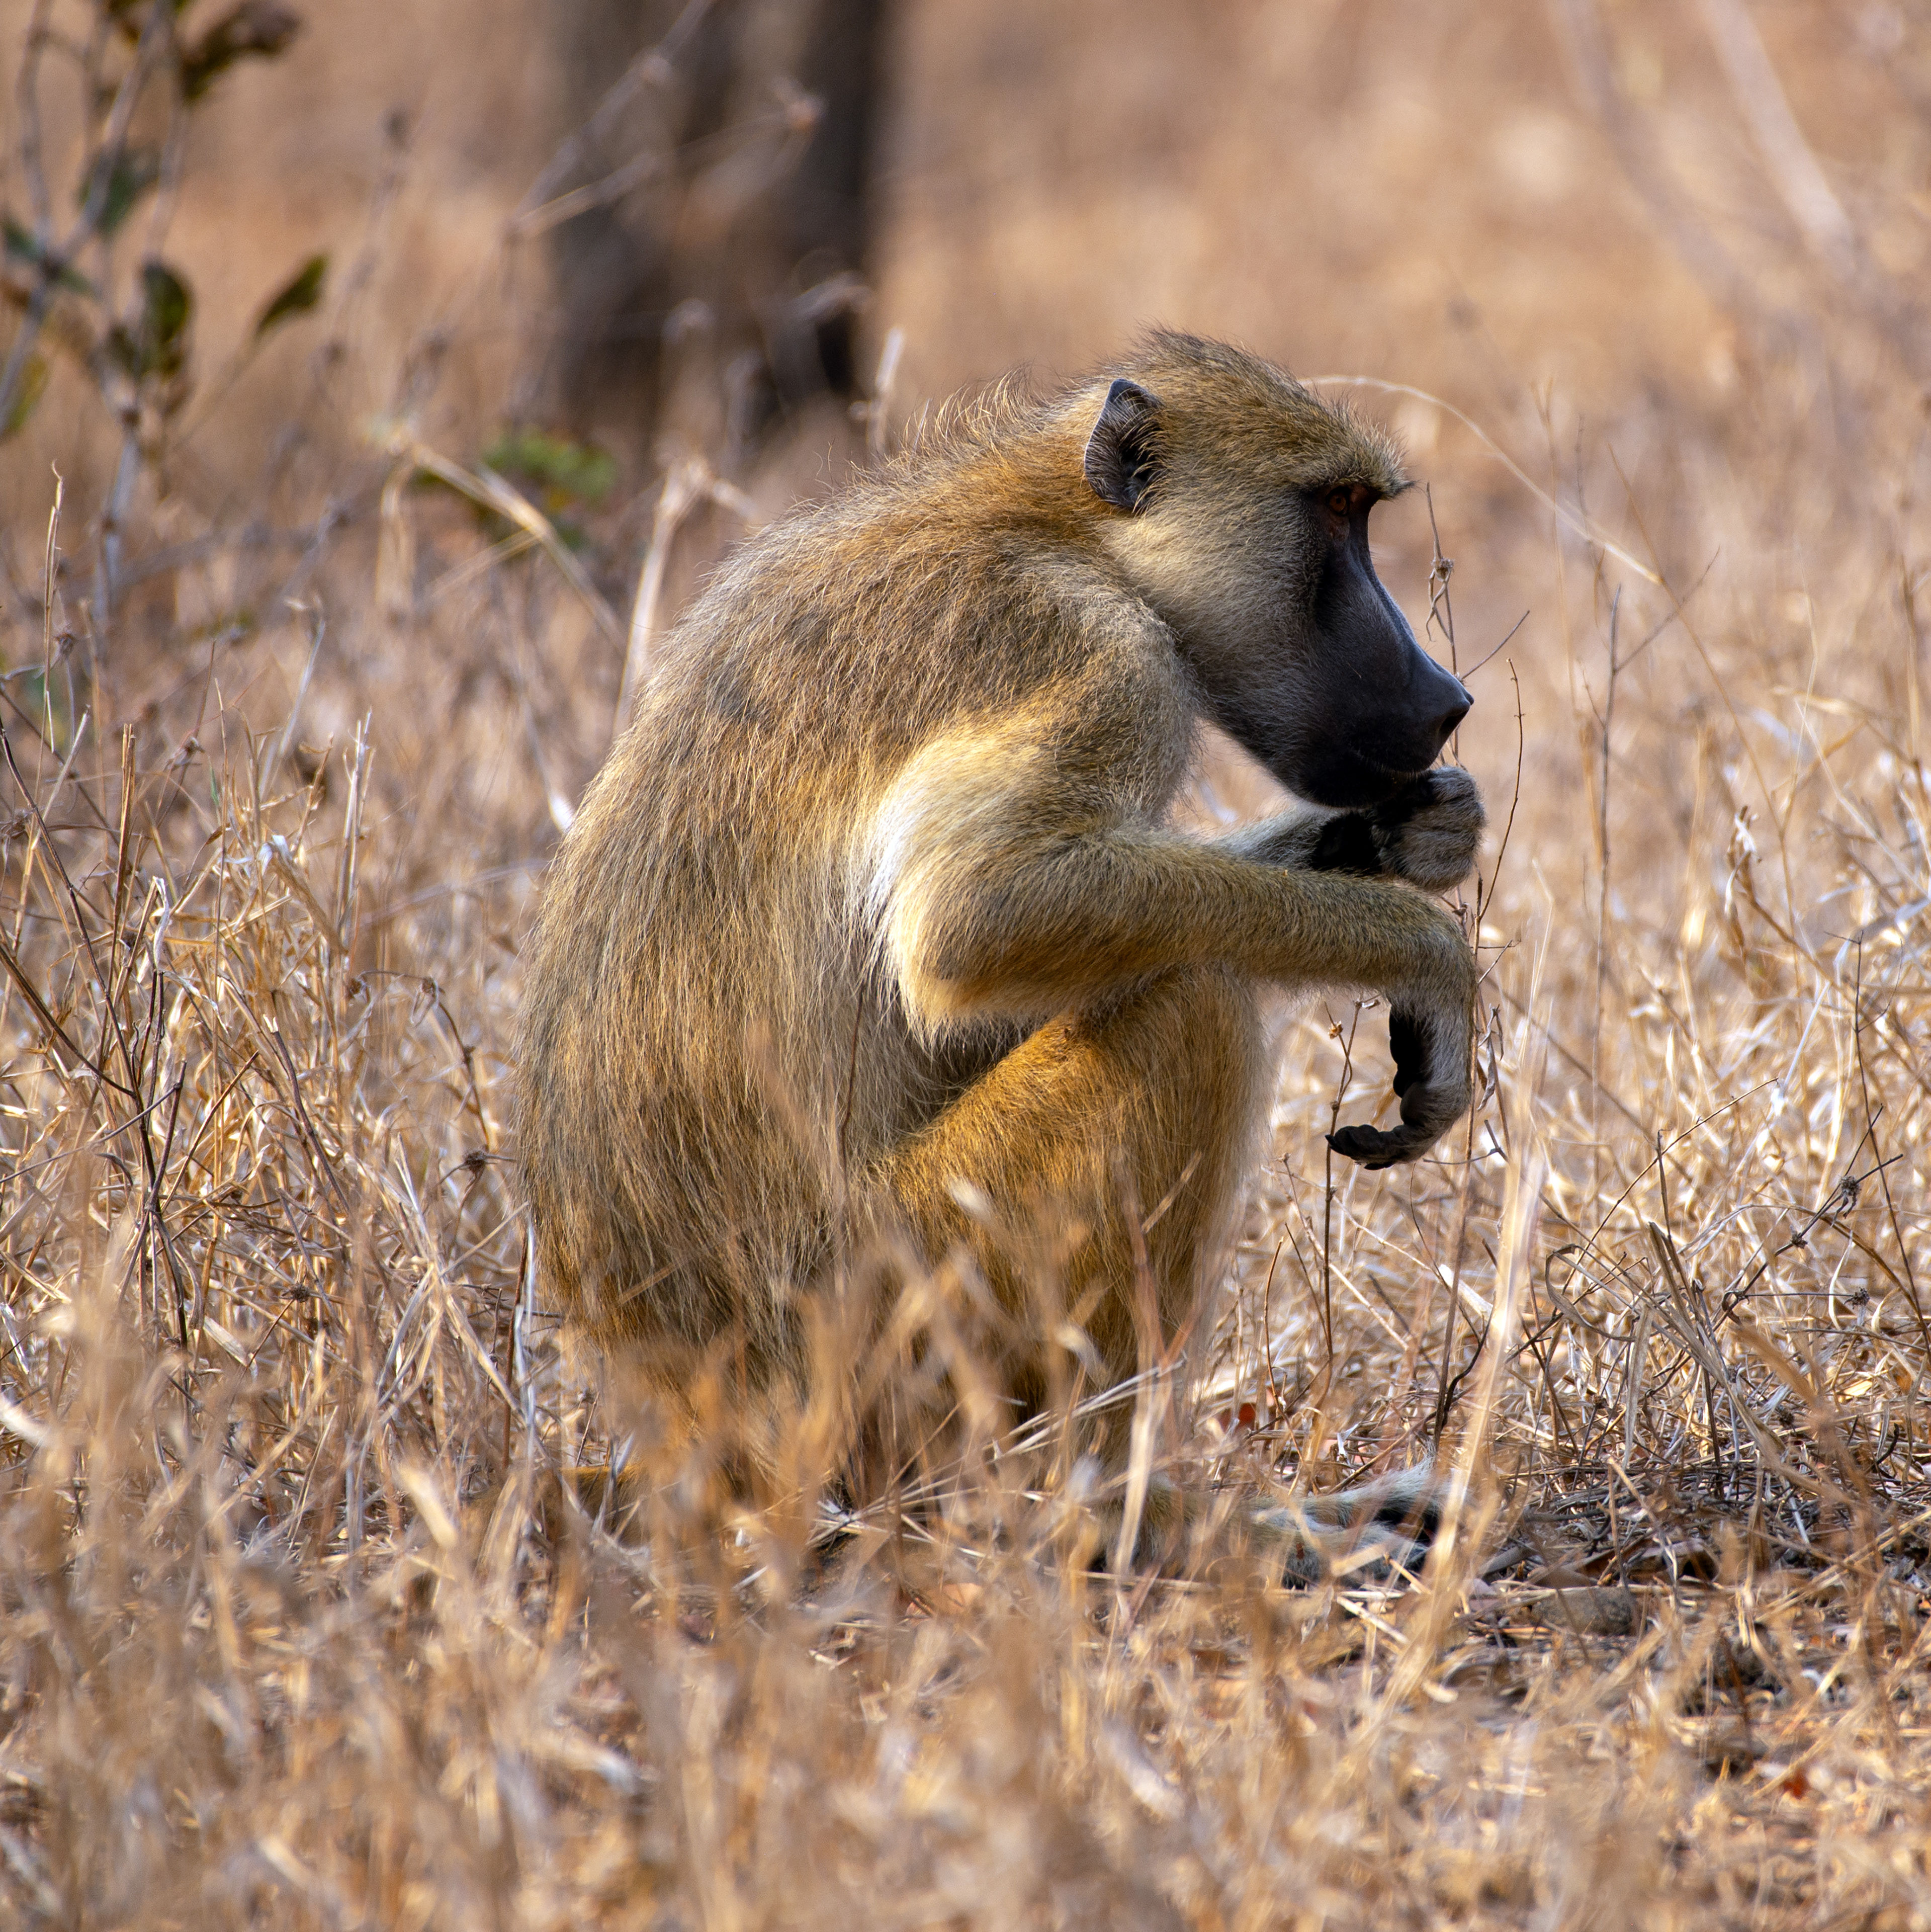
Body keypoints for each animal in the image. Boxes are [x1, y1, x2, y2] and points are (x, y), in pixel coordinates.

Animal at [514, 332, 1483, 1575]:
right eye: (1338, 515)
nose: (1448, 699)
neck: (1064, 526)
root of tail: (689, 1440)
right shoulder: (1097, 653)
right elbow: (977, 914)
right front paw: (1427, 956)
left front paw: (1406, 838)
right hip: (888, 1325)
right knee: (1189, 1004)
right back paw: (1126, 1520)